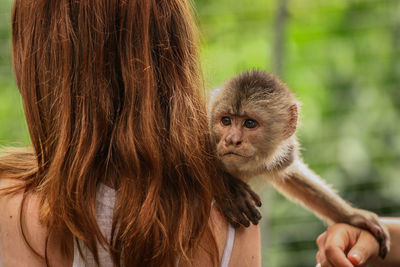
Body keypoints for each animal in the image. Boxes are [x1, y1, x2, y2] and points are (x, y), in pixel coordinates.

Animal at [209, 69, 390, 260]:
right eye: (226, 121)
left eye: (249, 123)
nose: (231, 140)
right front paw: (230, 189)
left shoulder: (283, 156)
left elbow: (292, 177)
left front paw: (352, 217)